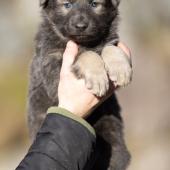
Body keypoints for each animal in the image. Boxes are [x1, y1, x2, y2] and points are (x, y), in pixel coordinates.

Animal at [27, 0, 131, 169]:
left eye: (94, 4)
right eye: (67, 5)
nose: (81, 26)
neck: (85, 43)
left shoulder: (110, 41)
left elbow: (110, 47)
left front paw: (121, 68)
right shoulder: (52, 69)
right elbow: (85, 54)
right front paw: (97, 77)